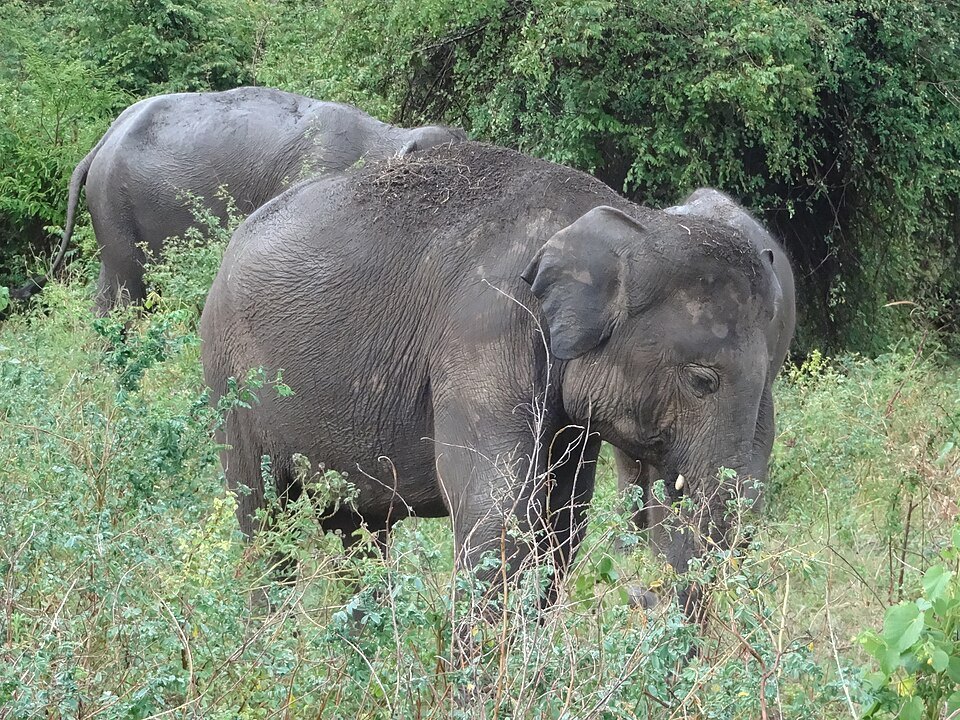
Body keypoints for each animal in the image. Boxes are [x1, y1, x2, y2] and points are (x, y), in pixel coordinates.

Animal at [200, 142, 791, 626]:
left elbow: (562, 519)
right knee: (260, 514)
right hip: (228, 373)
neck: (629, 221)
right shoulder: (489, 329)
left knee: (358, 528)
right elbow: (499, 516)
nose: (645, 598)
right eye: (702, 380)